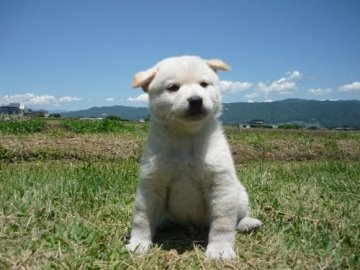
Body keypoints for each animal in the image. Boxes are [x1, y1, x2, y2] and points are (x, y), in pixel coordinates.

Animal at [126, 56, 262, 260]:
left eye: (204, 84)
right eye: (173, 87)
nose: (196, 100)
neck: (186, 138)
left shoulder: (220, 184)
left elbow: (222, 223)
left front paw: (220, 250)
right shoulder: (152, 183)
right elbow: (142, 218)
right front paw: (138, 243)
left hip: (240, 195)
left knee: (239, 216)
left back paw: (247, 223)